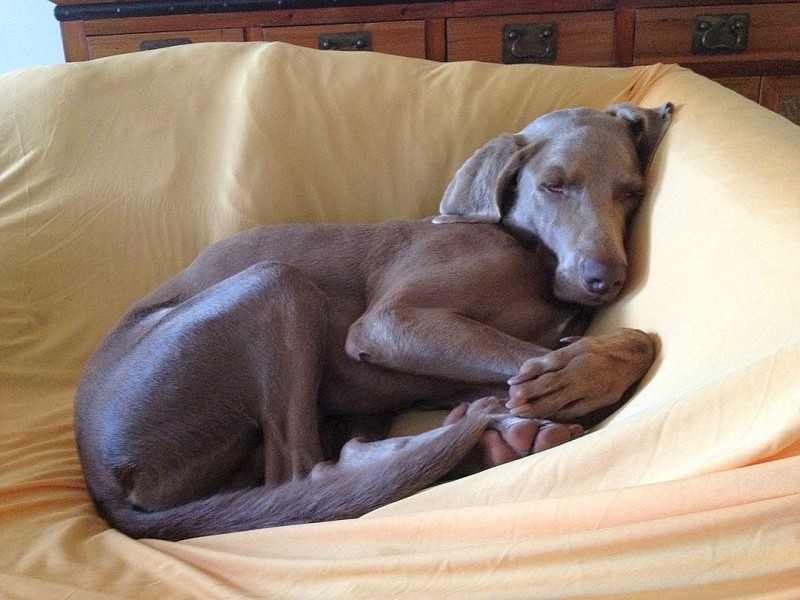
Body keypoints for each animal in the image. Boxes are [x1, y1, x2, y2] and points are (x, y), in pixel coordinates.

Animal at [76, 101, 676, 540]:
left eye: (632, 192)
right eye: (554, 185)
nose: (606, 280)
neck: (530, 255)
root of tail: (99, 476)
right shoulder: (389, 323)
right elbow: (595, 347)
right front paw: (580, 377)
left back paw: (501, 438)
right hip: (275, 284)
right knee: (306, 471)